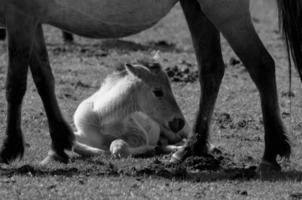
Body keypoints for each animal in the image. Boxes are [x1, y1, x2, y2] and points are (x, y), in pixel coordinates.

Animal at [0, 0, 300, 175]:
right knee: (211, 68)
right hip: (196, 7)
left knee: (261, 65)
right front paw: (58, 147)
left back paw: (270, 154)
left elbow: (15, 83)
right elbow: (43, 79)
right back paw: (191, 149)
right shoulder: (32, 18)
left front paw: (9, 149)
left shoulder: (20, 14)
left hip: (224, 9)